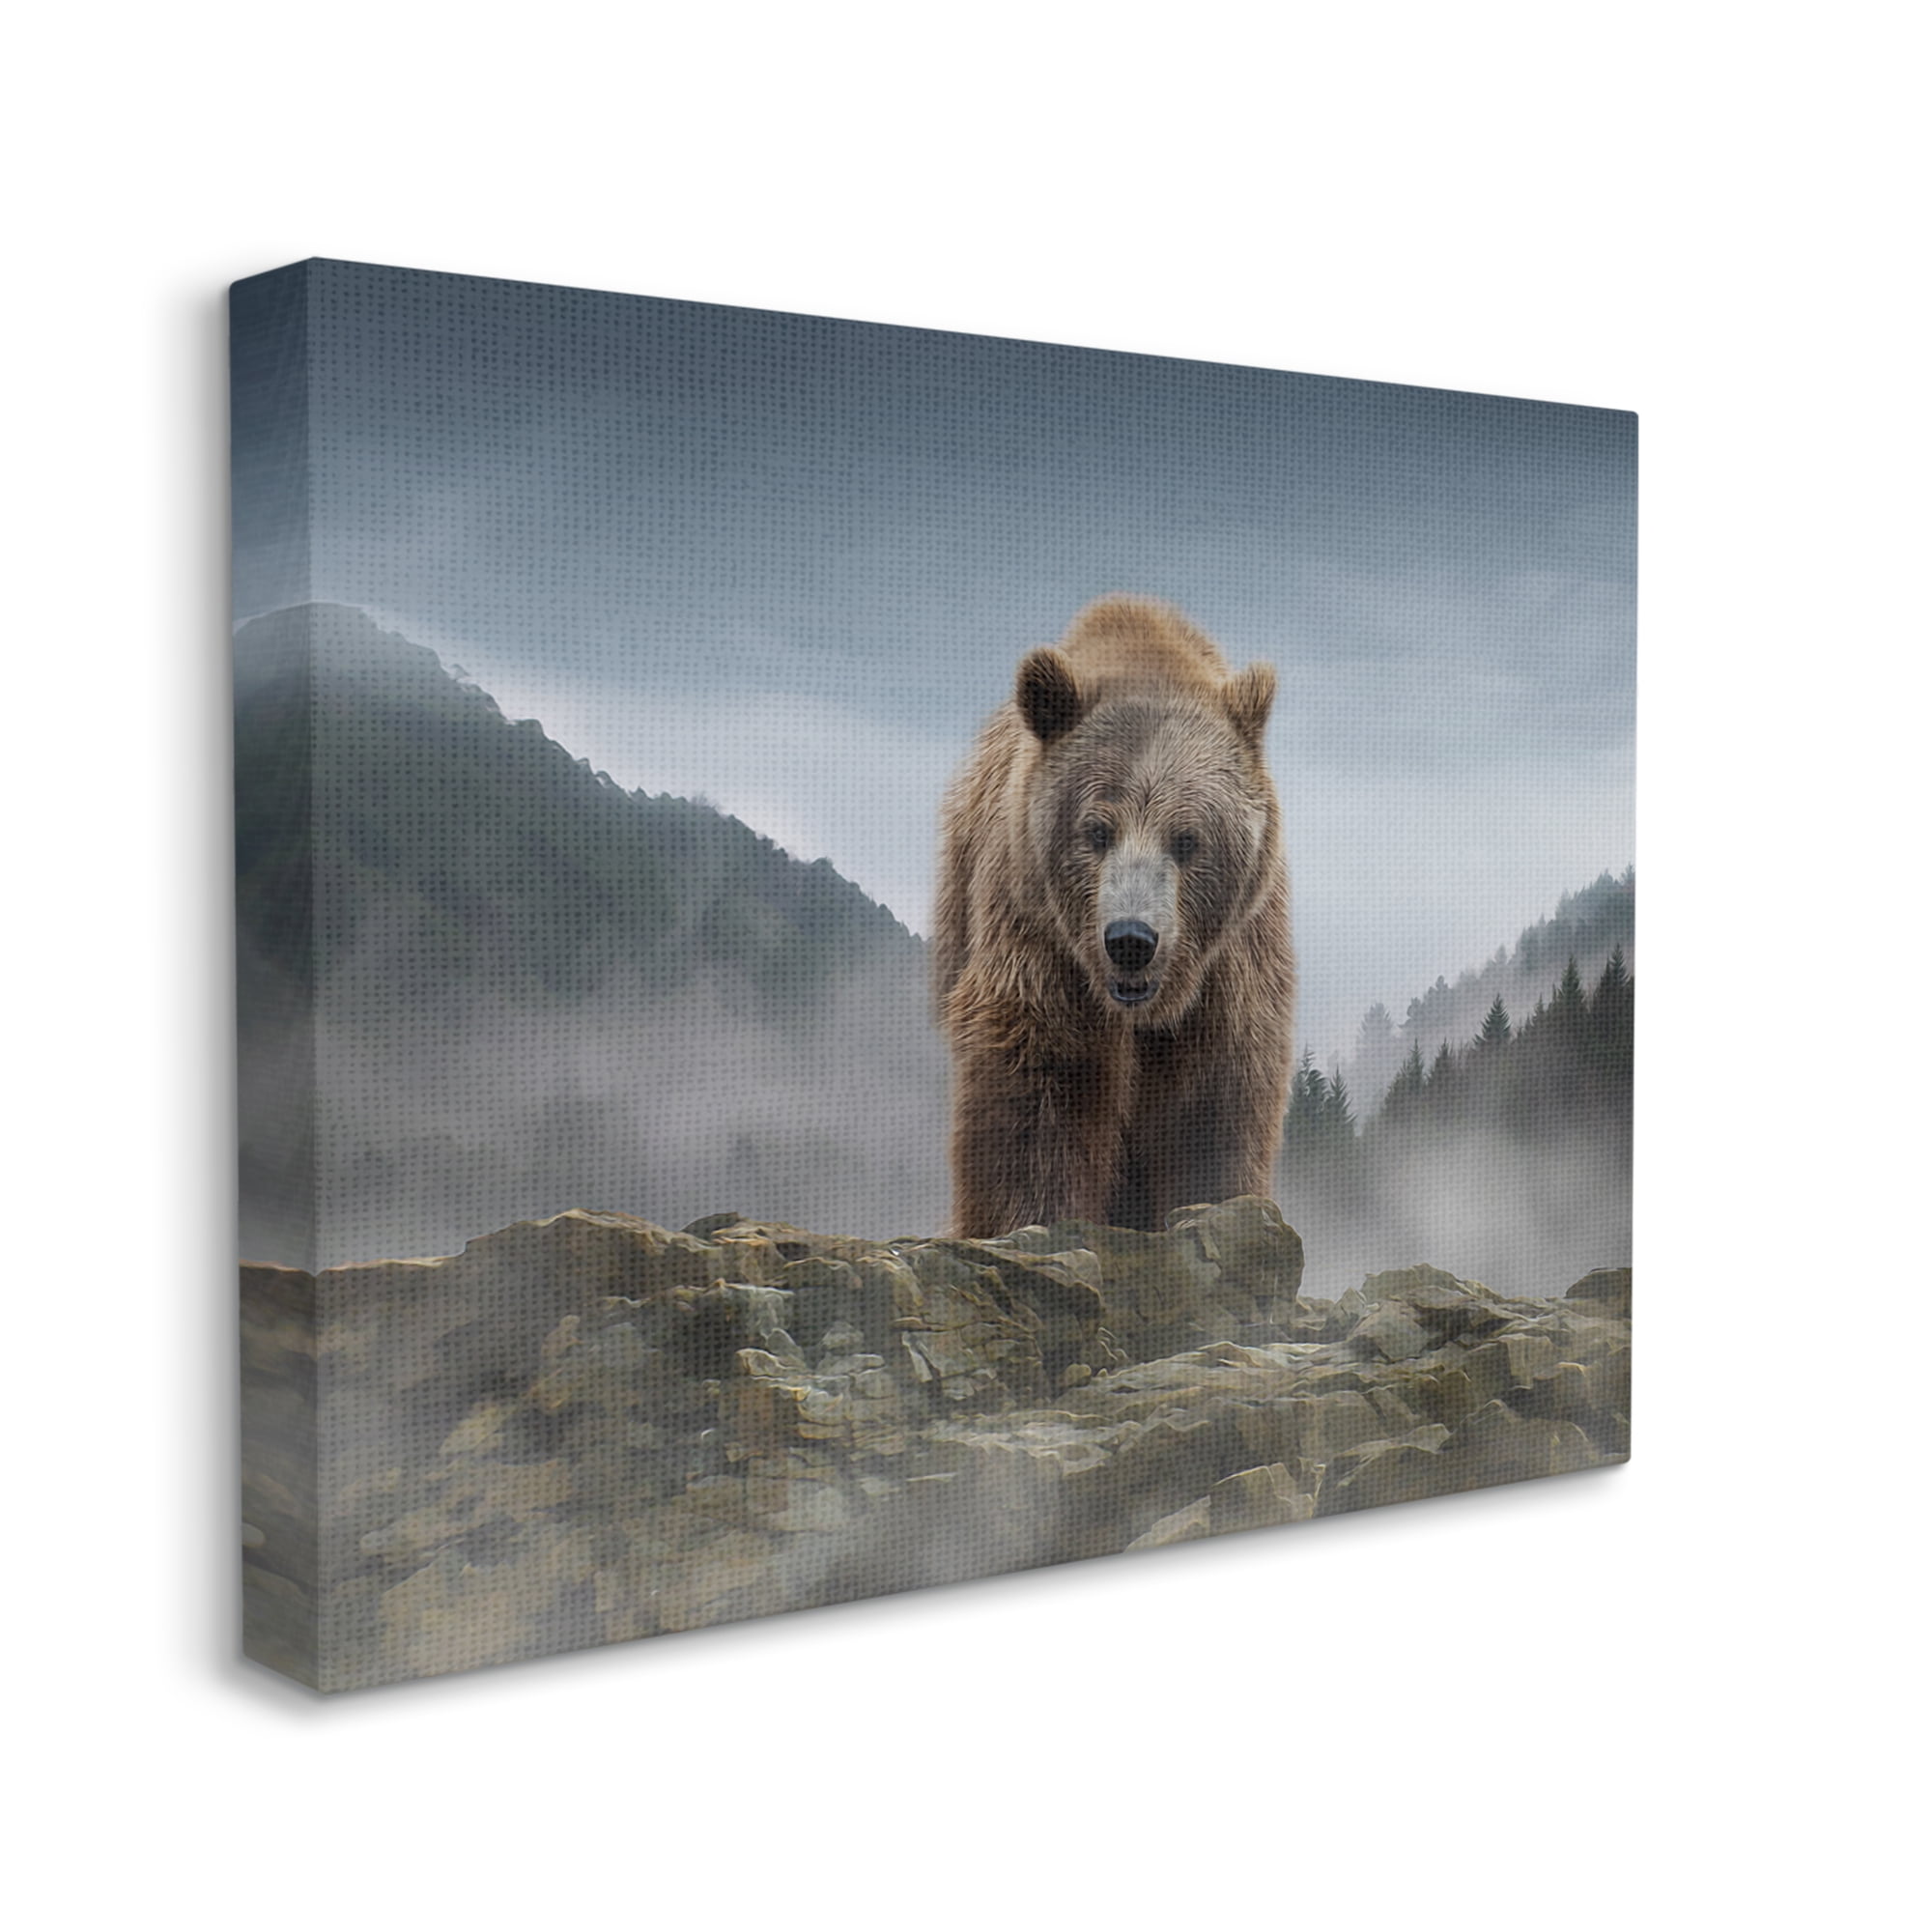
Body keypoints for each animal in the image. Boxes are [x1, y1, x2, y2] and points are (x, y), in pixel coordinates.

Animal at [934, 596, 1295, 1238]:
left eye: (1186, 838)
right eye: (1097, 830)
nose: (1131, 939)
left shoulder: (1231, 964)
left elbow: (1213, 1100)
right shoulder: (1039, 936)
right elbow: (1044, 1084)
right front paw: (1034, 1218)